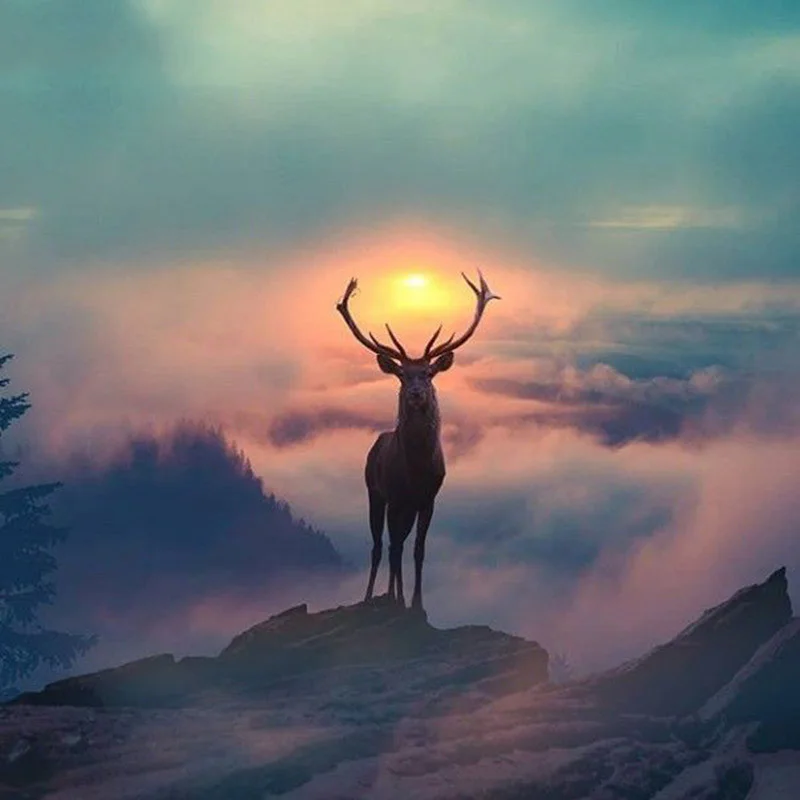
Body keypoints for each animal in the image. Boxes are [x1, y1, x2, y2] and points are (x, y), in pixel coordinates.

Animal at [336, 270, 499, 611]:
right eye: (402, 375)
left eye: (428, 373)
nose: (415, 394)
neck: (416, 470)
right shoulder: (395, 496)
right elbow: (394, 548)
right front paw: (395, 598)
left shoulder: (428, 499)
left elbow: (419, 550)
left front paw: (417, 602)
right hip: (374, 492)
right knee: (380, 546)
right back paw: (373, 595)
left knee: (397, 543)